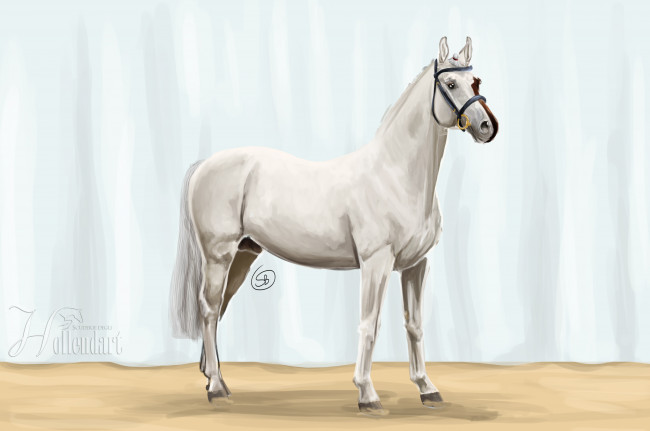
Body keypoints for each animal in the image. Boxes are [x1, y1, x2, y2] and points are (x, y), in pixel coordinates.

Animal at [169, 36, 498, 413]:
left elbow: (414, 325)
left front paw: (427, 388)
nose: (487, 128)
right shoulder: (376, 262)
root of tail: (205, 165)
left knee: (218, 307)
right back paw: (216, 387)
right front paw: (367, 395)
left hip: (243, 253)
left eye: (476, 82)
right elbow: (370, 324)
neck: (397, 175)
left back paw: (214, 377)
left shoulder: (416, 264)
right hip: (218, 254)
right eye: (451, 84)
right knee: (209, 309)